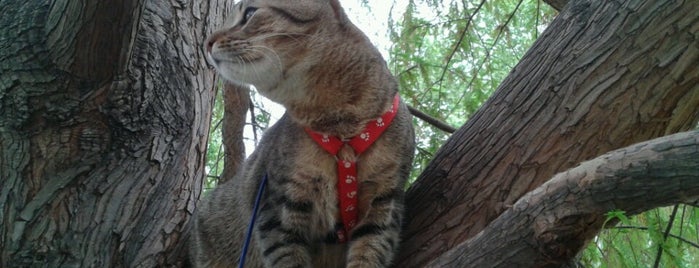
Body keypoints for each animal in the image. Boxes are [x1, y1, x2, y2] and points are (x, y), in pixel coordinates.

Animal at [190, 0, 416, 266]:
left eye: (250, 13)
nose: (207, 41)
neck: (340, 127)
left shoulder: (383, 204)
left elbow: (368, 254)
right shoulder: (275, 208)